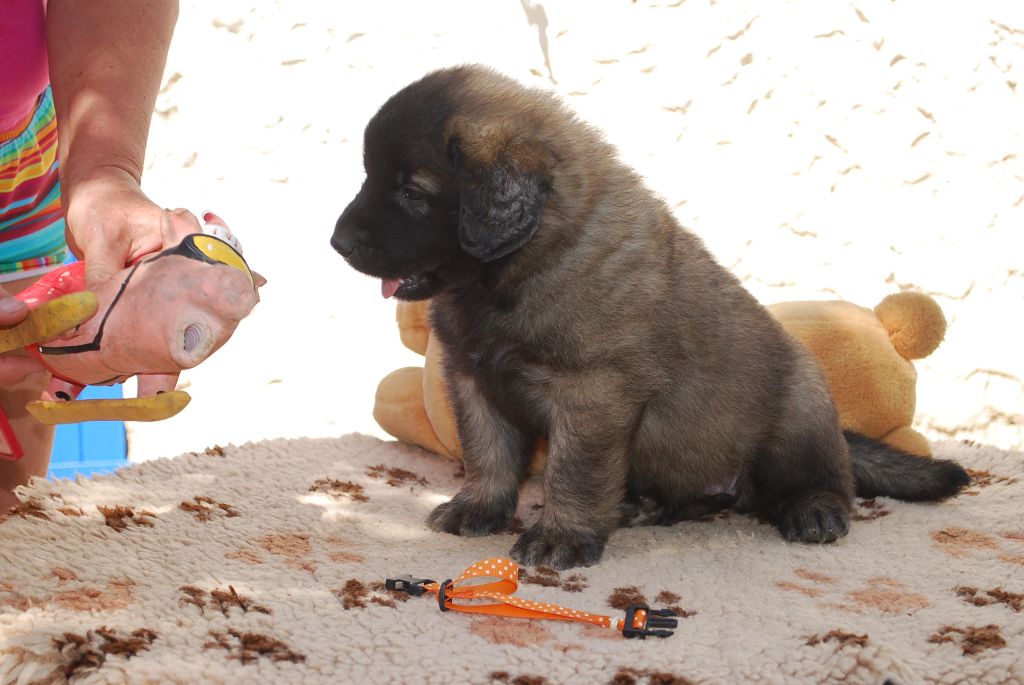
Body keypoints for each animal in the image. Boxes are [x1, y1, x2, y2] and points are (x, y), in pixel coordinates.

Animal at [332, 65, 970, 569]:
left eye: (413, 191)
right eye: (369, 175)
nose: (336, 242)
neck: (524, 264)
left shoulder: (592, 393)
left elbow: (573, 470)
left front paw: (561, 536)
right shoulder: (473, 379)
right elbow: (487, 452)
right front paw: (478, 508)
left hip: (801, 412)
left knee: (827, 479)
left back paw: (813, 510)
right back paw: (642, 506)